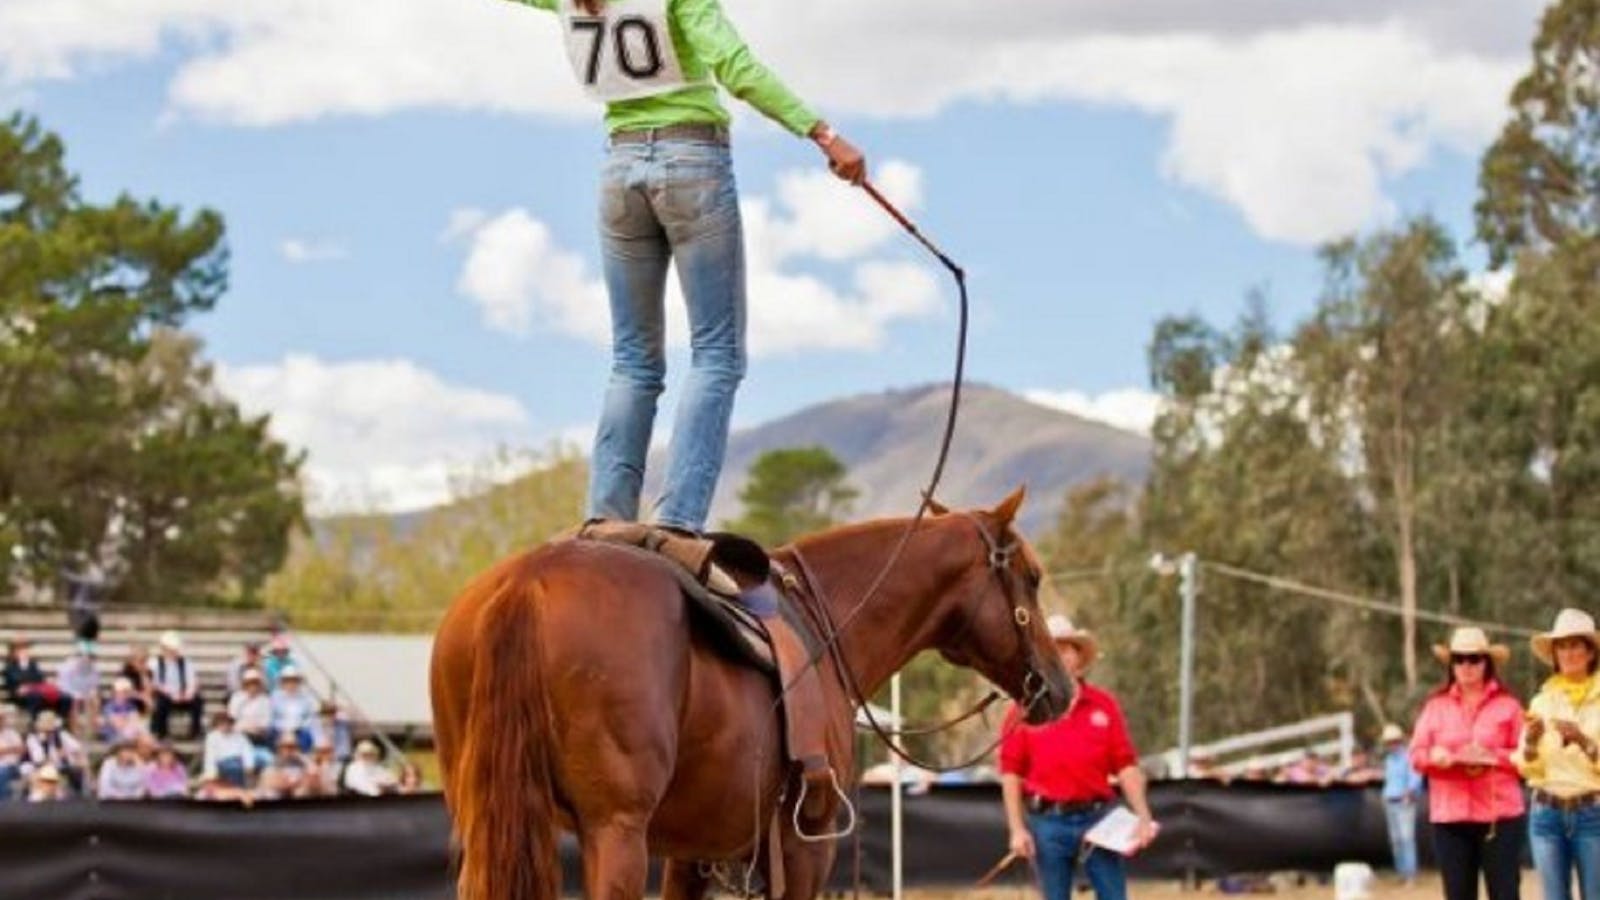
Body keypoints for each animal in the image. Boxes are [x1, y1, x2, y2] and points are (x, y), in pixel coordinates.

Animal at [432, 486, 1068, 890]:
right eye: (1034, 578)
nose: (1060, 688)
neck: (827, 620)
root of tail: (527, 582)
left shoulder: (694, 853)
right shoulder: (808, 842)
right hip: (615, 833)